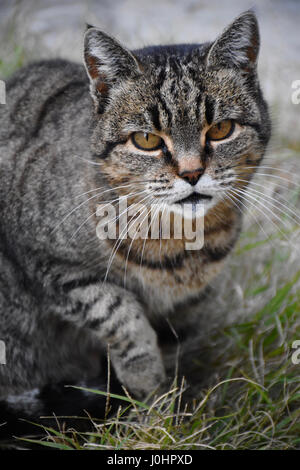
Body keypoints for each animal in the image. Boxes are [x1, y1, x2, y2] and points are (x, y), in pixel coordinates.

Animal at [0, 11, 270, 408]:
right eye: (146, 140)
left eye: (221, 129)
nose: (192, 173)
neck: (179, 245)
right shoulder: (44, 262)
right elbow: (118, 311)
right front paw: (147, 383)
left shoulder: (189, 303)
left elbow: (172, 341)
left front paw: (169, 403)